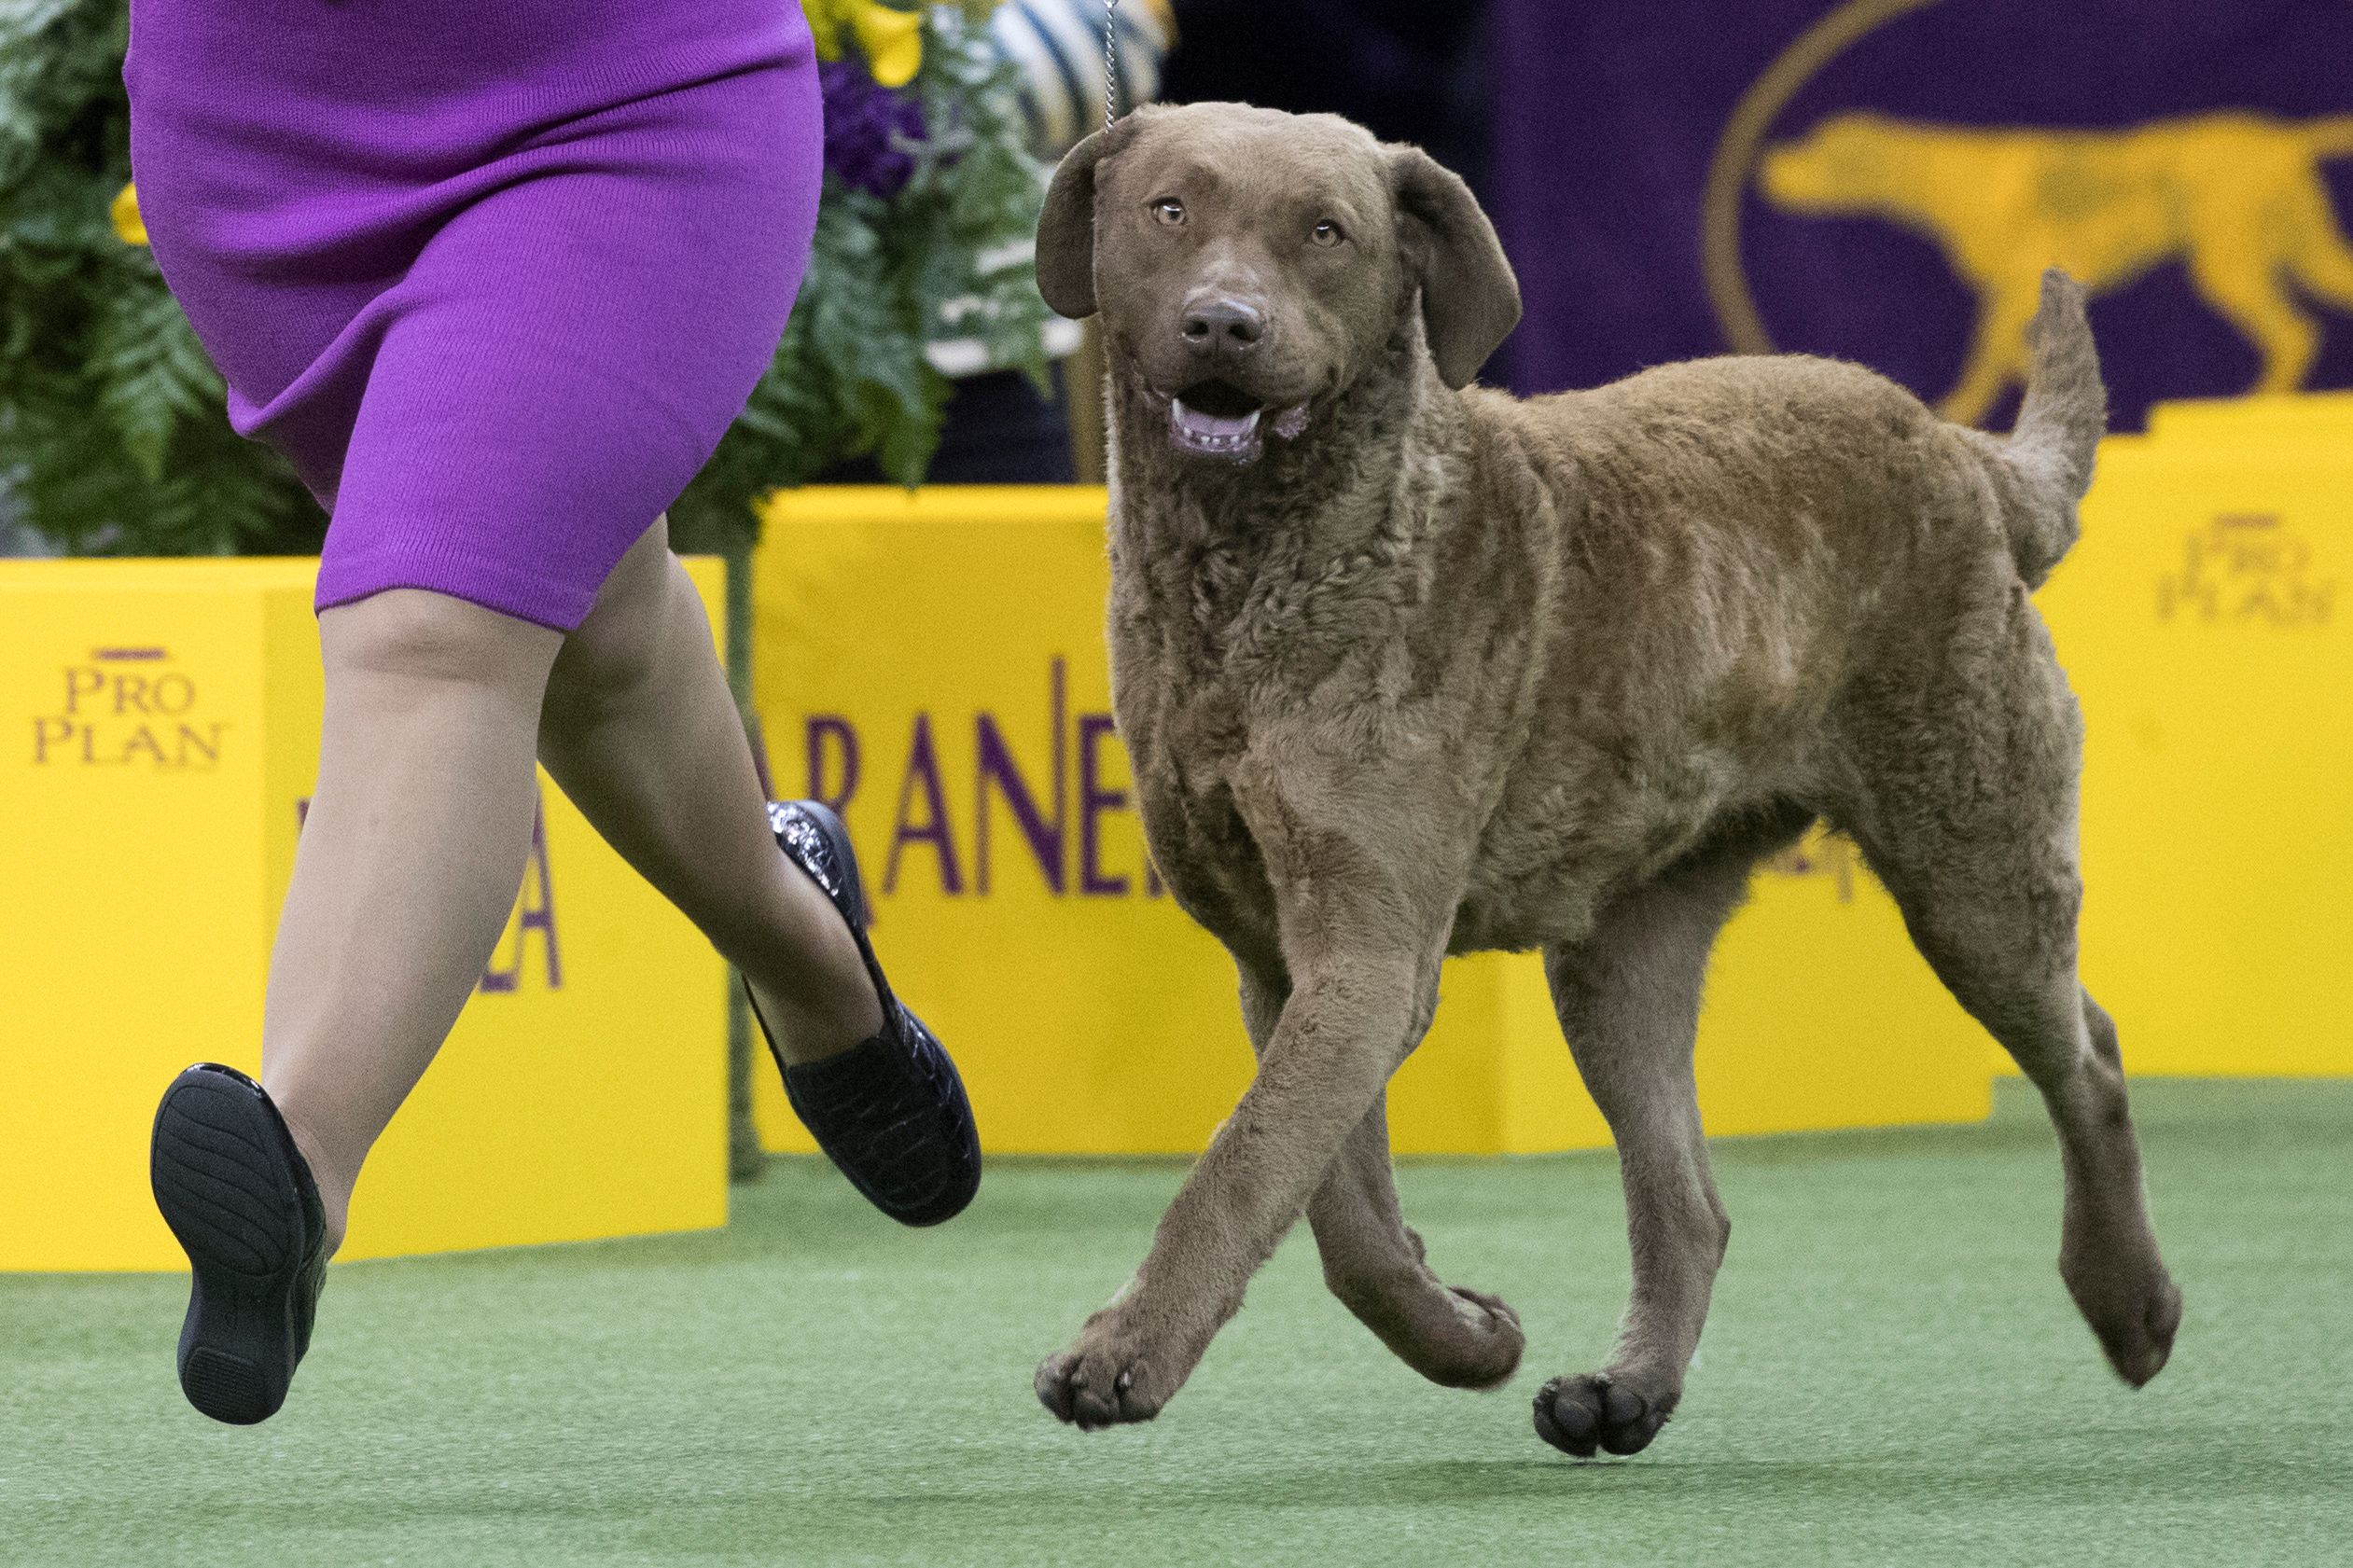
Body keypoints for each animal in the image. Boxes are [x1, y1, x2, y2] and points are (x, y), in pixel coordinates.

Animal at [1039, 107, 2174, 1457]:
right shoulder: (1279, 955)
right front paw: (1467, 1333)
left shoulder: (1370, 949)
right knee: (1688, 1198)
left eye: (1325, 232)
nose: (1223, 323)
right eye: (1169, 207)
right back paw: (1621, 1391)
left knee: (2088, 1055)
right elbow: (1341, 1215)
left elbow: (1240, 1166)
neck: (1259, 576)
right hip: (1623, 951)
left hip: (1971, 858)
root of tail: (1961, 450)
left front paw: (1119, 1355)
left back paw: (2128, 1306)